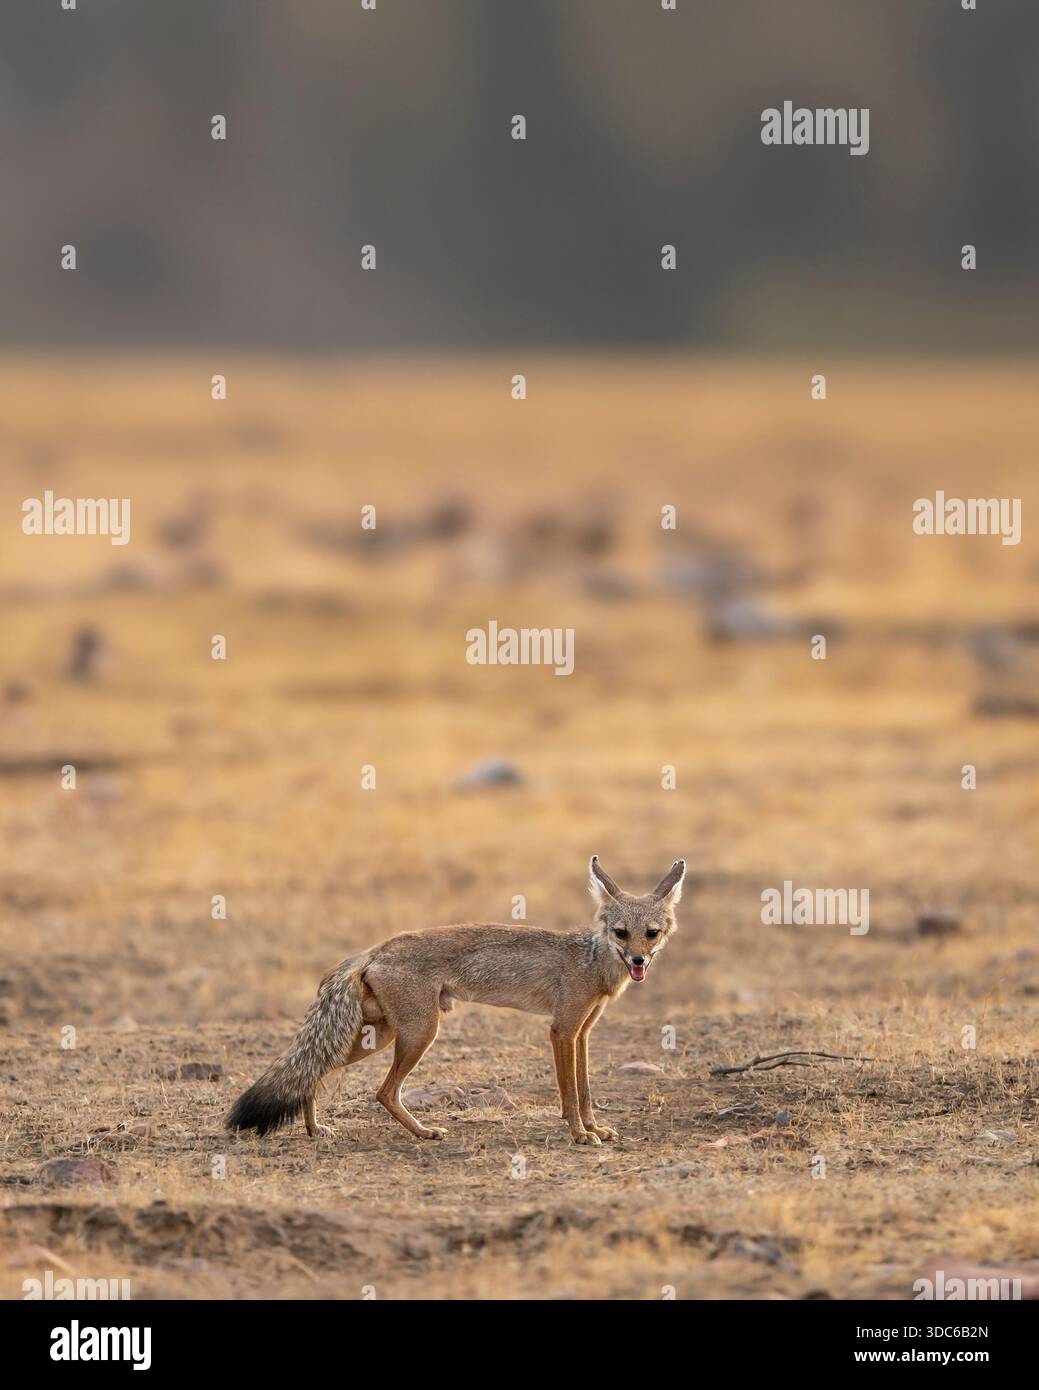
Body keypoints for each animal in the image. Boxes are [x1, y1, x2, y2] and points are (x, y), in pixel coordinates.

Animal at [226, 855, 685, 1146]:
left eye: (652, 933)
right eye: (621, 933)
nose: (639, 961)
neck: (590, 960)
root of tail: (375, 949)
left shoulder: (583, 1033)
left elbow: (586, 1090)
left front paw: (595, 1128)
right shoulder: (561, 1031)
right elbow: (570, 1094)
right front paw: (579, 1134)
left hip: (380, 1036)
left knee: (314, 1072)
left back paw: (315, 1130)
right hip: (417, 1035)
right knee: (381, 1092)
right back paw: (422, 1133)